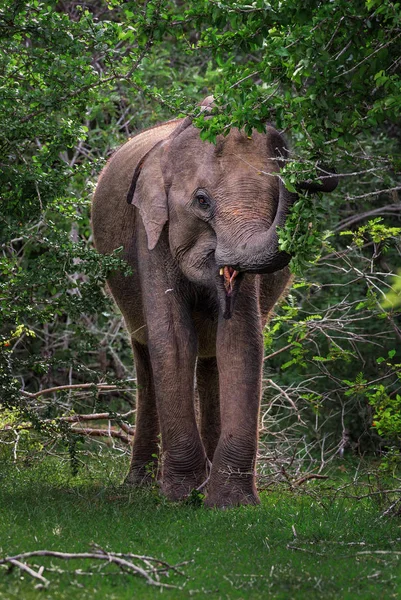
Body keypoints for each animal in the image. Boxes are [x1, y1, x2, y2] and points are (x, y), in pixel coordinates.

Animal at [91, 97, 338, 506]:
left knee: (211, 359)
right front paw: (181, 497)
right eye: (202, 201)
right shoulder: (150, 233)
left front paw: (230, 505)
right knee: (146, 351)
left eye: (274, 202)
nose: (317, 176)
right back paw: (139, 485)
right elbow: (173, 340)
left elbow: (240, 341)